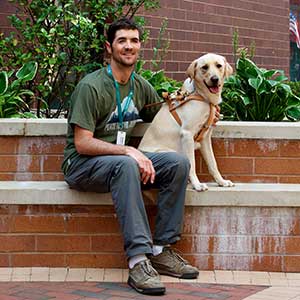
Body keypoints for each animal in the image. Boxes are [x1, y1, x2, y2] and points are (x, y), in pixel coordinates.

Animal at [138, 52, 234, 191]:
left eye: (219, 65)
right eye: (204, 67)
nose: (215, 79)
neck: (203, 97)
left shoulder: (205, 138)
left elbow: (212, 163)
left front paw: (221, 181)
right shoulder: (187, 134)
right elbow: (192, 164)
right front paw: (197, 184)